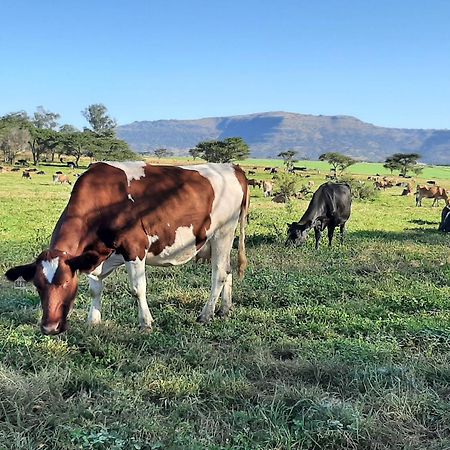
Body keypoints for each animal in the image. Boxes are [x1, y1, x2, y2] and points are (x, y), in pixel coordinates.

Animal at [4, 162, 250, 334]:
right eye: (37, 285)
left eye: (65, 282)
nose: (49, 328)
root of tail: (232, 167)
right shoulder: (93, 256)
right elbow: (95, 289)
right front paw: (93, 320)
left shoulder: (135, 247)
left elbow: (137, 288)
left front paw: (146, 323)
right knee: (228, 270)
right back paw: (225, 309)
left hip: (223, 233)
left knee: (219, 274)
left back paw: (206, 315)